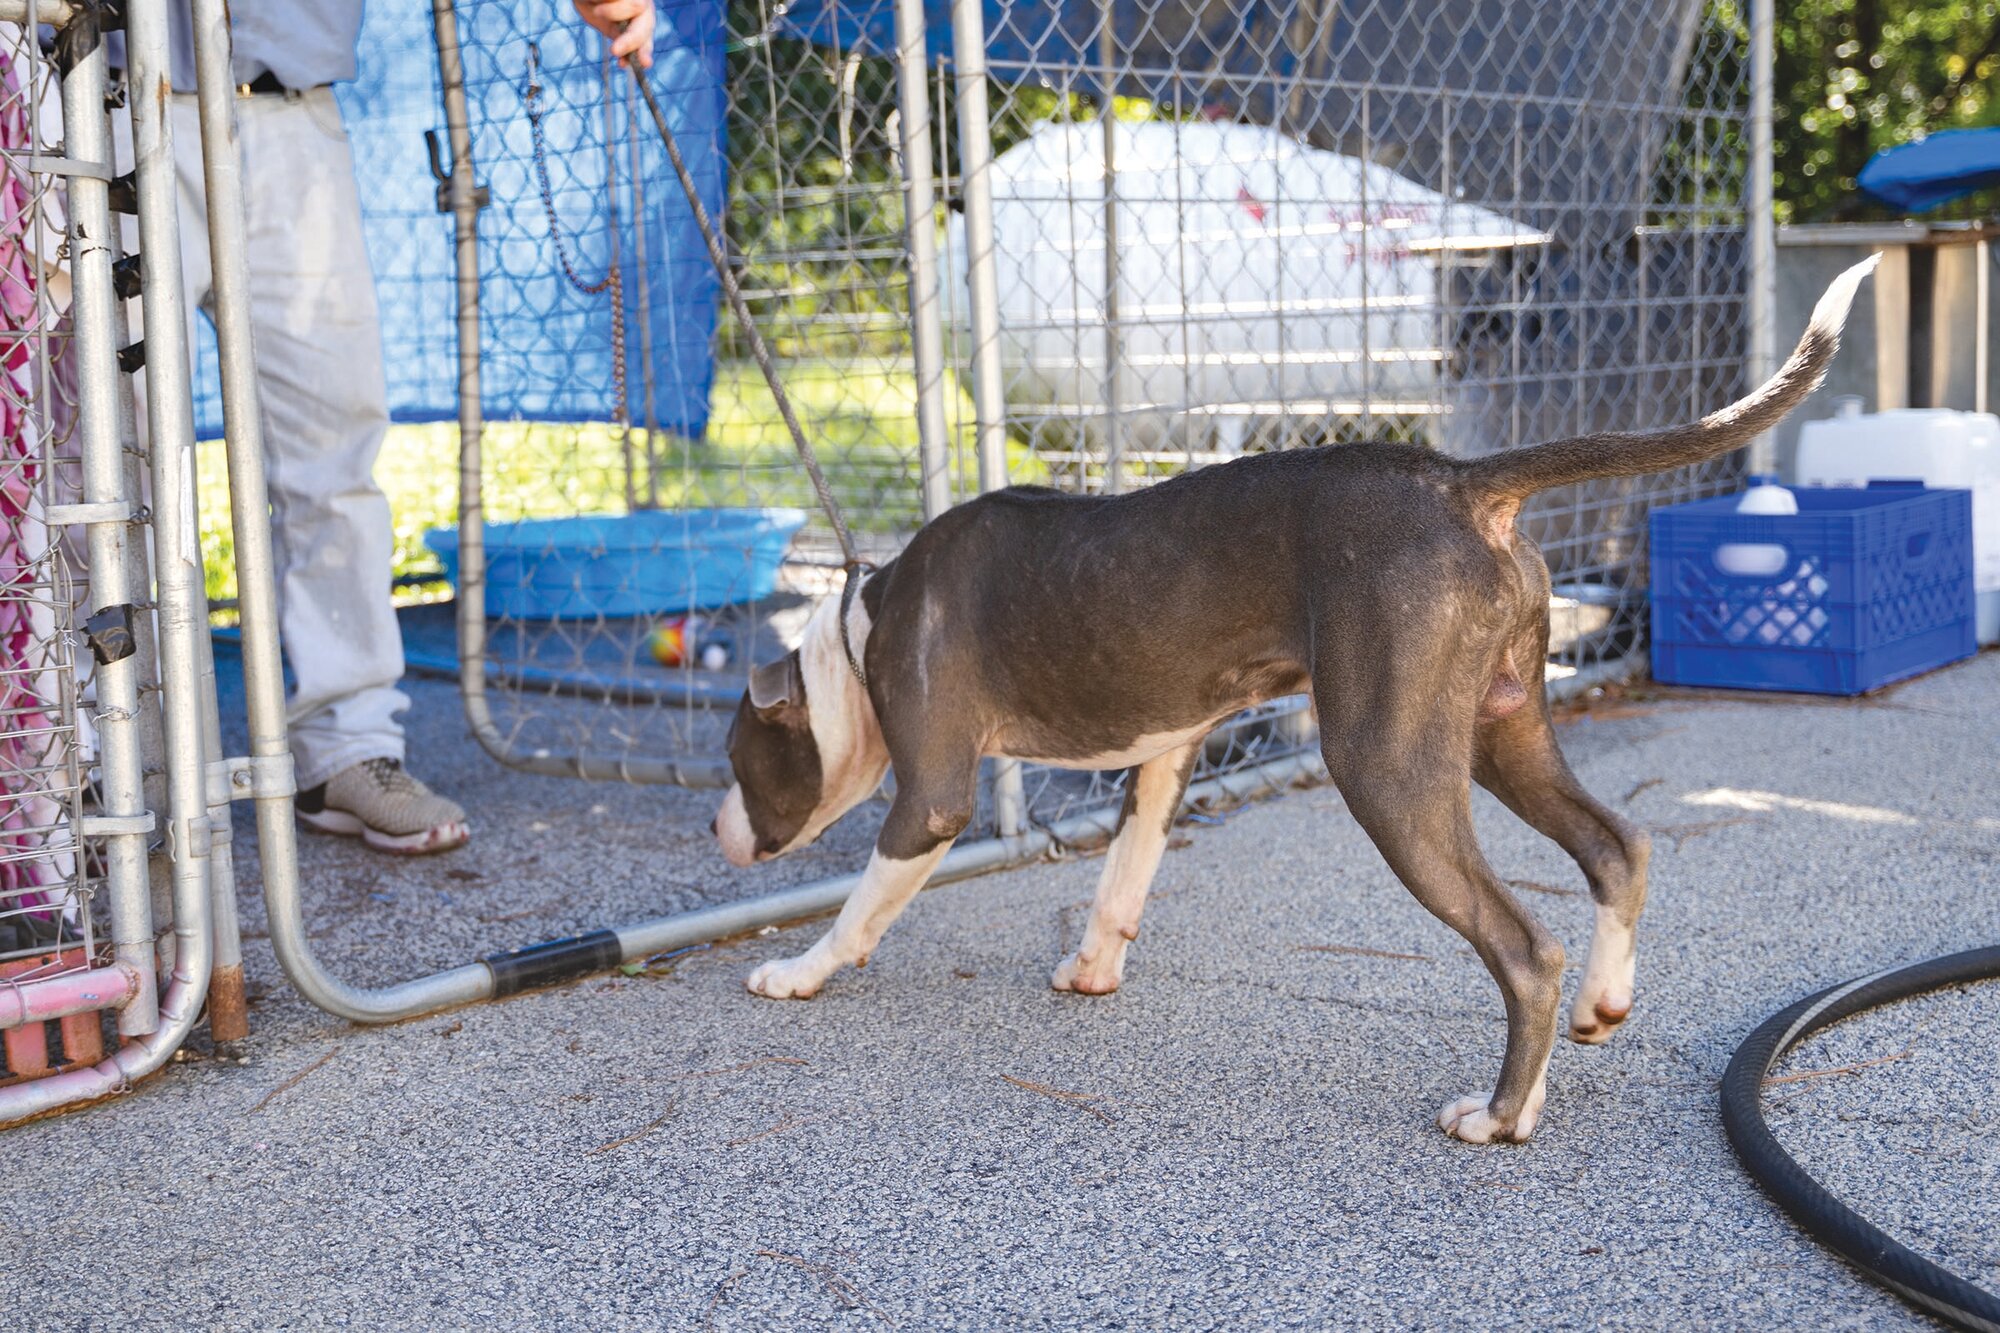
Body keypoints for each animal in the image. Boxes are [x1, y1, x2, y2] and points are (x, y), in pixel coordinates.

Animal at [716, 256, 1872, 1144]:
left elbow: (860, 906)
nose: (720, 826)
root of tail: (1461, 482)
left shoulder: (933, 800)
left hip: (1387, 764)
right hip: (1501, 729)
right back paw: (1601, 1004)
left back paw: (1502, 1114)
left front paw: (797, 973)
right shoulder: (1165, 756)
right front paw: (1092, 966)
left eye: (733, 760)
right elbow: (1122, 876)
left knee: (1520, 945)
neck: (859, 631)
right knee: (1615, 845)